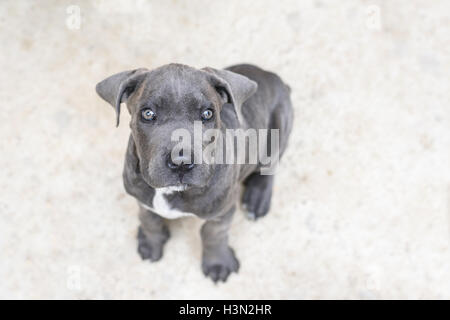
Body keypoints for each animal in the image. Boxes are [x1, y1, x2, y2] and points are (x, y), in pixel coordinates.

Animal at [95, 63, 294, 282]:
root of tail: (271, 76)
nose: (181, 162)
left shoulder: (222, 210)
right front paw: (151, 241)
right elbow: (149, 218)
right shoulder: (140, 197)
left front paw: (218, 262)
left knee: (270, 166)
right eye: (147, 114)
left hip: (279, 129)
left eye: (207, 114)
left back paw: (257, 199)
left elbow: (213, 234)